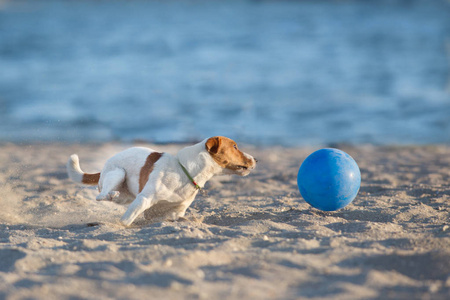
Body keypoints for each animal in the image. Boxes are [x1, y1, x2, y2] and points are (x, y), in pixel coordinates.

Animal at [67, 136, 256, 225]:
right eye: (234, 146)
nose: (255, 159)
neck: (185, 170)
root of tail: (103, 168)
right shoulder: (144, 200)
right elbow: (125, 221)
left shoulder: (175, 212)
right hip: (118, 174)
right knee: (101, 195)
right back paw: (110, 193)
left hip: (127, 196)